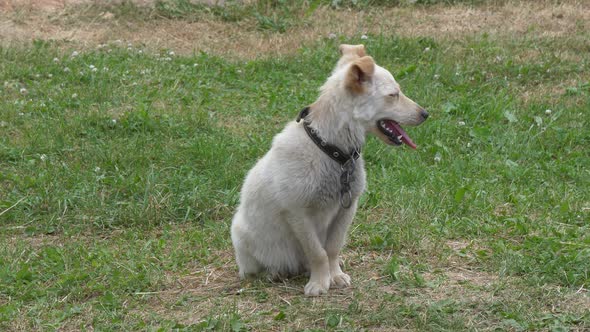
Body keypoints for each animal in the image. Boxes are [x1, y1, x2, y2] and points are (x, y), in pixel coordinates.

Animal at [231, 44, 430, 296]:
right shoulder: (298, 214)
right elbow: (317, 253)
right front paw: (319, 283)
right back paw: (272, 273)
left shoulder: (347, 208)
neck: (333, 152)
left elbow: (332, 248)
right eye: (393, 95)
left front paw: (334, 276)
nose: (425, 114)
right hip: (241, 235)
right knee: (254, 269)